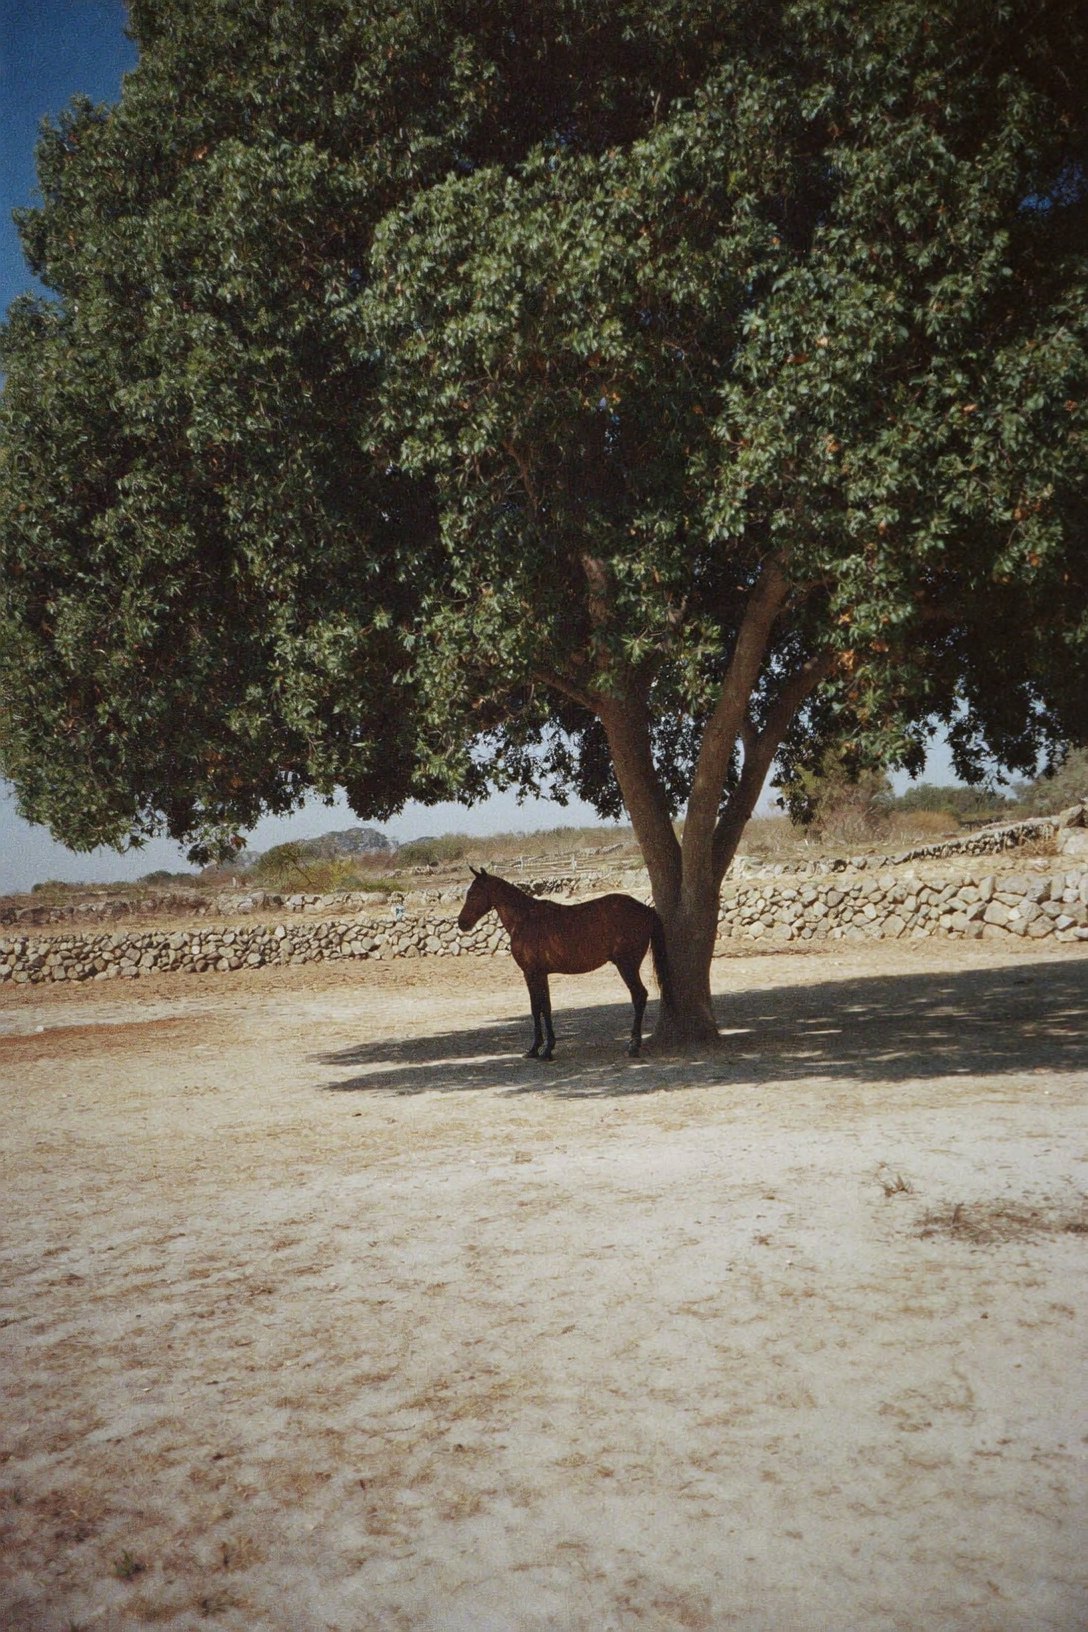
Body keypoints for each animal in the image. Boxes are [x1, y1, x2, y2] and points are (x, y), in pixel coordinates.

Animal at [458, 866, 673, 1060]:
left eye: (473, 894)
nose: (461, 923)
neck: (525, 919)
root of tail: (645, 909)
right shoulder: (540, 974)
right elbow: (542, 1007)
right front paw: (539, 1049)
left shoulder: (531, 973)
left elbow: (538, 1008)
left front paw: (542, 1050)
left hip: (627, 965)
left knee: (639, 996)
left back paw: (633, 1046)